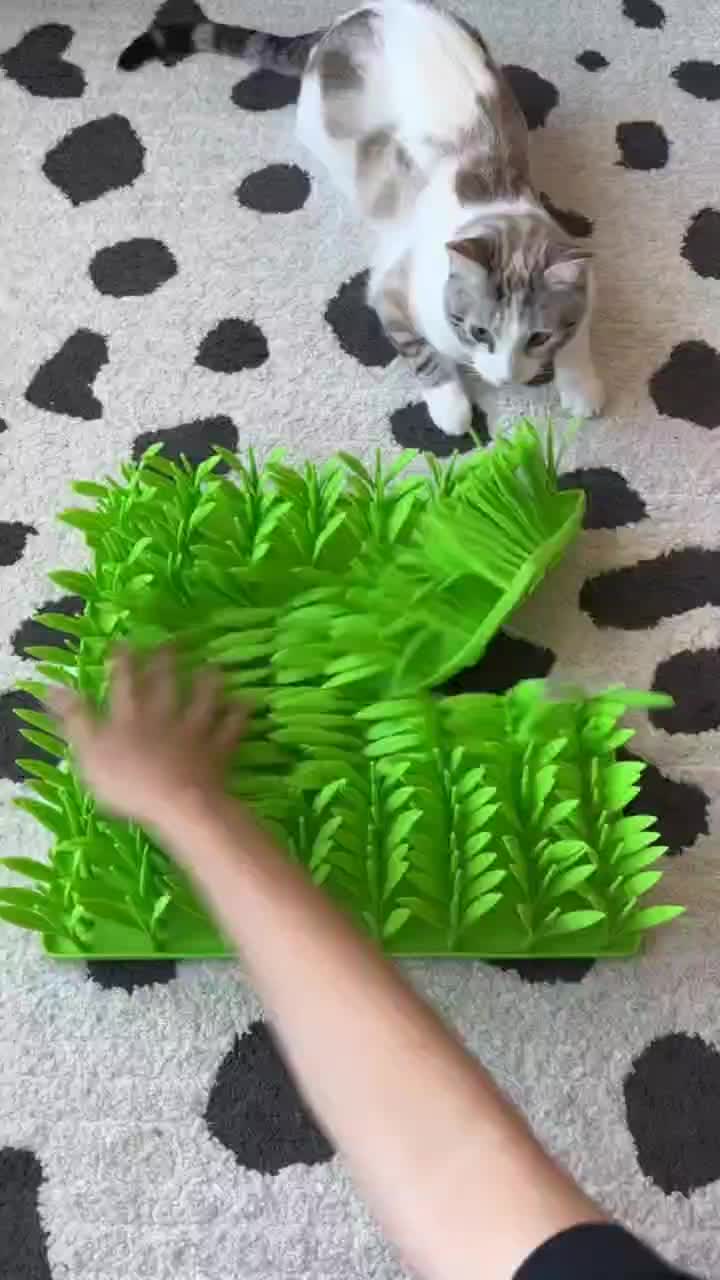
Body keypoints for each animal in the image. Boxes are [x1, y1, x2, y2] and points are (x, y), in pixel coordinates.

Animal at [119, 2, 605, 437]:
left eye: (537, 338)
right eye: (479, 331)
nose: (506, 378)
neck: (490, 198)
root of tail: (345, 18)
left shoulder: (580, 276)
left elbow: (579, 335)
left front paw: (582, 387)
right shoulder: (391, 294)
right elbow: (423, 356)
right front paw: (452, 410)